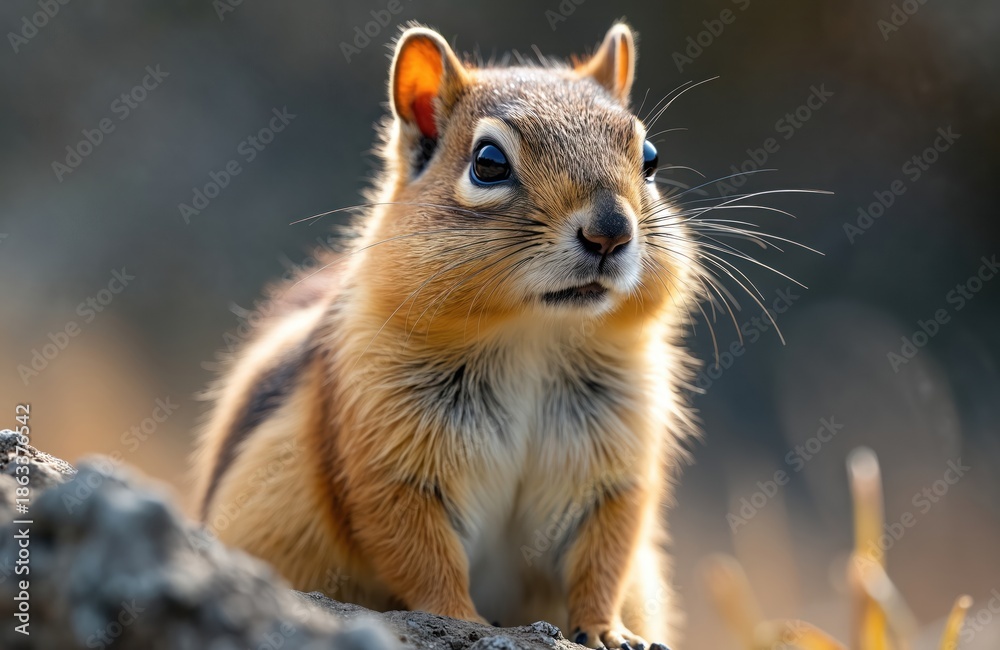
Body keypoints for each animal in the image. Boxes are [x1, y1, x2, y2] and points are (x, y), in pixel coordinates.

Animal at [193, 22, 705, 650]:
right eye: (488, 162)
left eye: (650, 159)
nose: (610, 231)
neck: (532, 338)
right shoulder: (387, 458)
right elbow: (419, 550)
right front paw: (460, 619)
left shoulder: (615, 466)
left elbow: (605, 552)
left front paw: (609, 630)